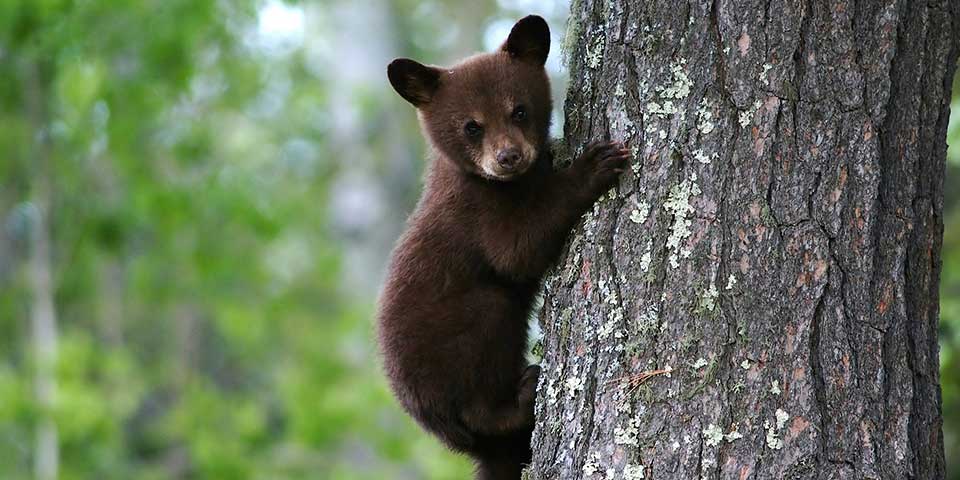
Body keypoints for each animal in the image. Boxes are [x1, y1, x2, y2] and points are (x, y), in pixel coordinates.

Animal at [377, 14, 629, 480]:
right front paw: (594, 164)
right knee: (483, 374)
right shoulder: (476, 211)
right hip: (458, 346)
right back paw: (523, 395)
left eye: (520, 110)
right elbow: (516, 250)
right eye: (471, 126)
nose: (508, 156)